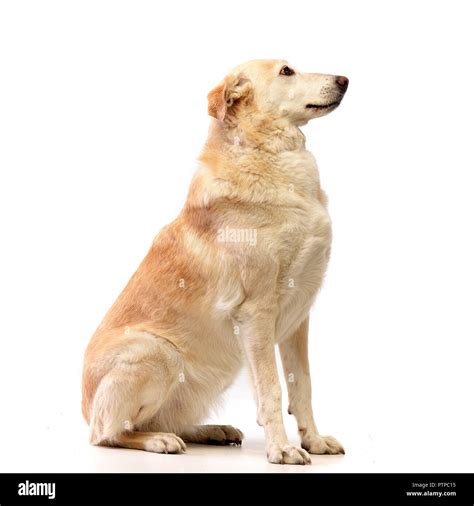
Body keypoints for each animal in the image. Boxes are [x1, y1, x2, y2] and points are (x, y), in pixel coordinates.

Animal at [81, 58, 348, 462]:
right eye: (287, 71)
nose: (345, 80)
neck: (270, 155)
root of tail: (83, 409)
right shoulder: (257, 313)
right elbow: (272, 389)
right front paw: (282, 449)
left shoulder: (299, 316)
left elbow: (302, 385)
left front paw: (313, 441)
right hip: (158, 353)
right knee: (108, 433)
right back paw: (158, 441)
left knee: (168, 419)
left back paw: (212, 430)